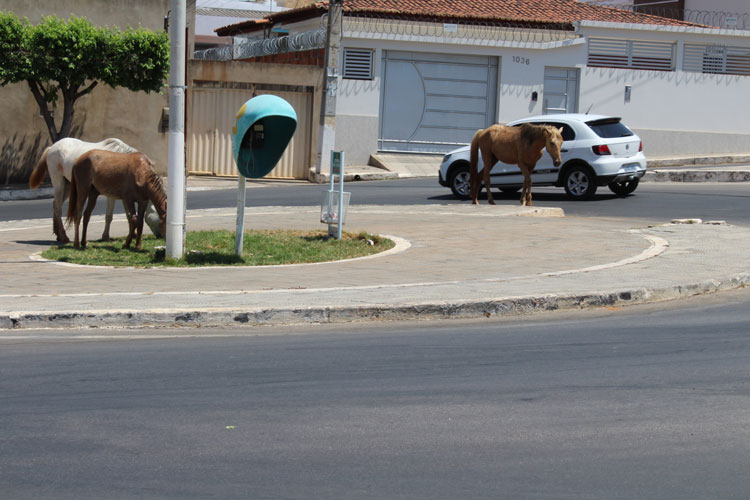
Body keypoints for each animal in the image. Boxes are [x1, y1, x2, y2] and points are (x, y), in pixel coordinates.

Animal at [28, 139, 161, 244]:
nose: (160, 236)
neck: (127, 163)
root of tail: (52, 147)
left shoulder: (125, 195)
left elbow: (129, 215)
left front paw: (132, 235)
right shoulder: (113, 196)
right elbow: (109, 216)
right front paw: (105, 236)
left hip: (68, 185)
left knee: (57, 204)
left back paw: (59, 235)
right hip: (59, 182)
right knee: (57, 208)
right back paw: (64, 237)